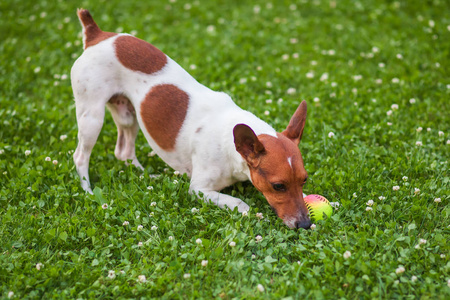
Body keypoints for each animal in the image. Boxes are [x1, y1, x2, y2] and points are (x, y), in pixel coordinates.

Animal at [72, 9, 312, 230]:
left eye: (304, 180)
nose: (305, 224)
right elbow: (241, 204)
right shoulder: (199, 189)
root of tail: (96, 34)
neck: (229, 143)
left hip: (128, 115)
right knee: (81, 156)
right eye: (278, 186)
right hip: (92, 117)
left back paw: (146, 175)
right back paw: (88, 190)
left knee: (124, 151)